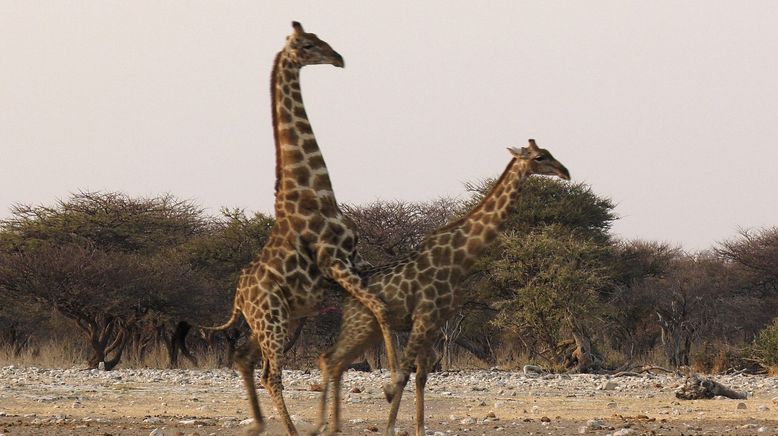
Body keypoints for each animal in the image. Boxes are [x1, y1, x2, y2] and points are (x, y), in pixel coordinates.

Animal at [203, 22, 398, 434]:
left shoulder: (356, 261)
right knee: (269, 374)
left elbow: (378, 309)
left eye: (322, 39)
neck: (316, 193)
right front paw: (390, 386)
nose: (339, 58)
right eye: (309, 45)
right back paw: (289, 428)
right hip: (272, 321)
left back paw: (261, 424)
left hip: (274, 321)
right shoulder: (335, 264)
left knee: (243, 358)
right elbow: (382, 309)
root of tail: (239, 297)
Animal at [316, 141, 568, 436]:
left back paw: (329, 425)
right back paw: (324, 425)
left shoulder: (434, 324)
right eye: (541, 157)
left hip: (368, 330)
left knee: (332, 361)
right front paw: (390, 424)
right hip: (362, 325)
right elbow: (405, 372)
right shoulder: (423, 318)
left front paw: (419, 429)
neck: (457, 259)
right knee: (332, 360)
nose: (565, 172)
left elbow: (422, 375)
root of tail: (350, 295)